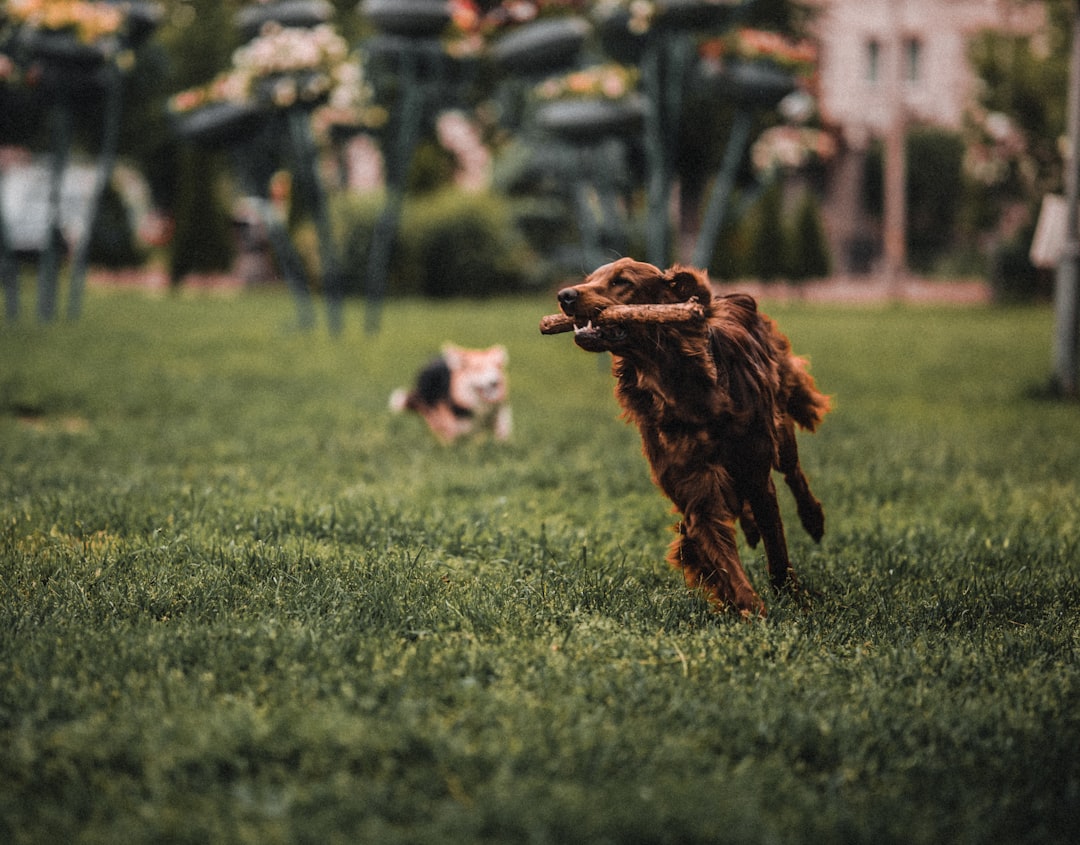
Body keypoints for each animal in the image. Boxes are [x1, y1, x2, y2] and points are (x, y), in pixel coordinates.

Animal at [544, 258, 829, 613]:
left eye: (622, 281)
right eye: (590, 278)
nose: (565, 295)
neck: (683, 387)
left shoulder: (755, 470)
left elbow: (775, 543)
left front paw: (790, 594)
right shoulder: (695, 487)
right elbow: (724, 559)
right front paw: (751, 609)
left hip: (779, 426)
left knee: (793, 471)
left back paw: (813, 519)